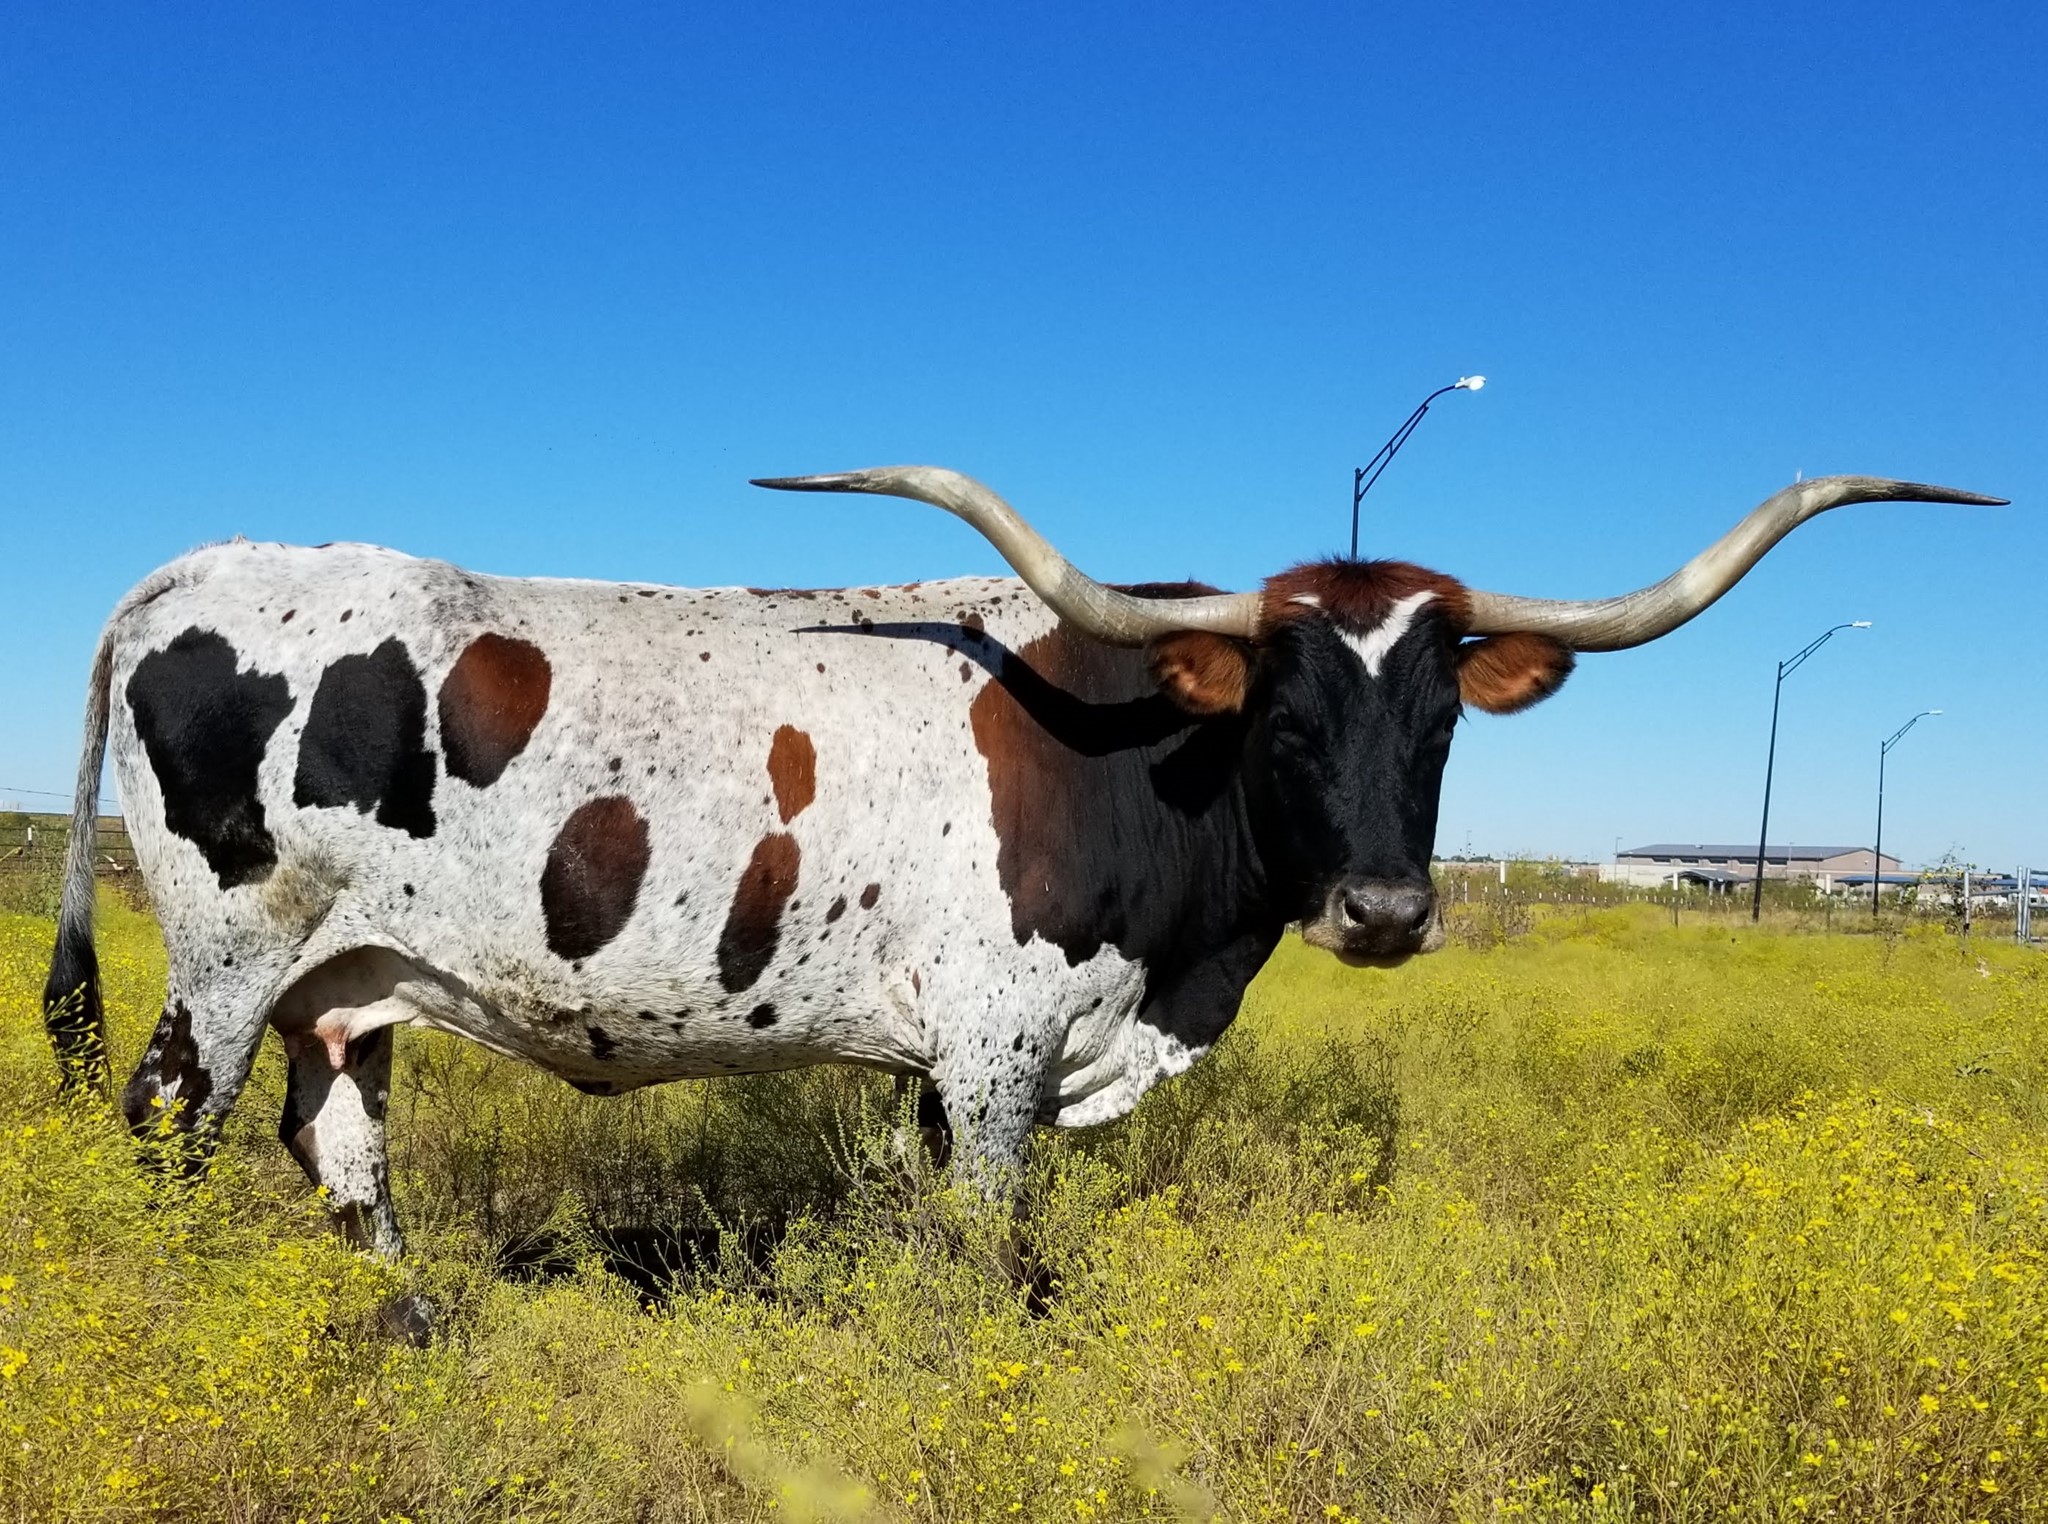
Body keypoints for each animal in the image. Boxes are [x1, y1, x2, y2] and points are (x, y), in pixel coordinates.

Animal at [41, 466, 2002, 1258]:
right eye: (1284, 715)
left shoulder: (945, 1064)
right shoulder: (994, 1051)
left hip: (345, 985)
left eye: (1439, 715)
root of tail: (198, 566)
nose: (1382, 909)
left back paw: (422, 1321)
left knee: (341, 1148)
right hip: (223, 969)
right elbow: (996, 1255)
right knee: (169, 1130)